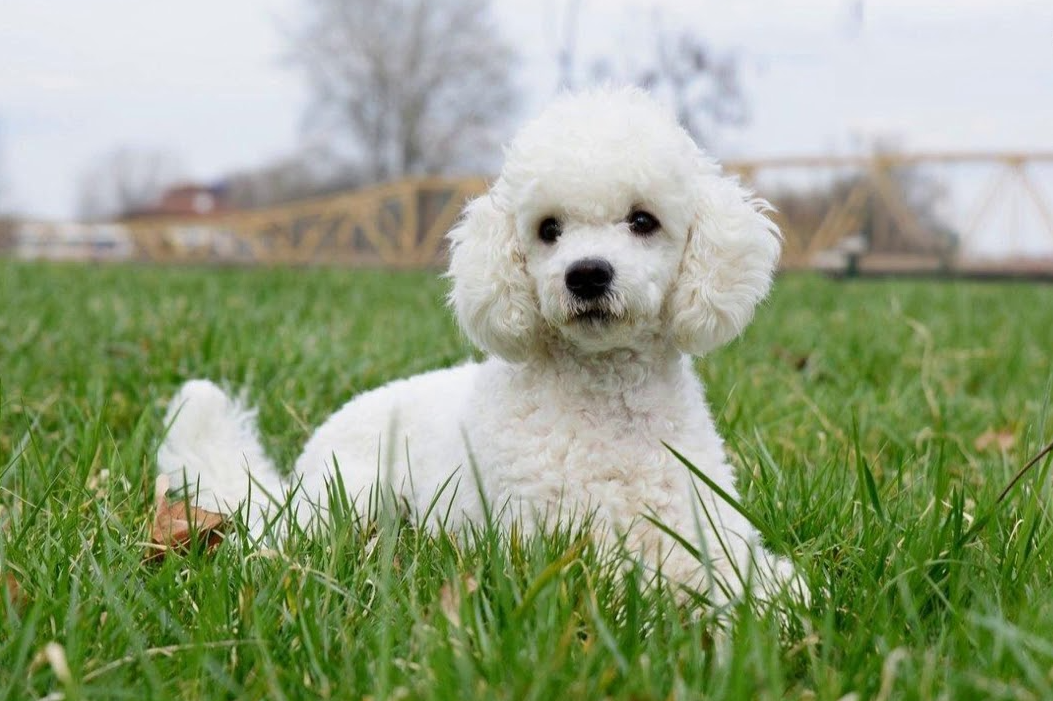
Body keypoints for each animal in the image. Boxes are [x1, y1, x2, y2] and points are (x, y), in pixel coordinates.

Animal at [155, 85, 796, 602]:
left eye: (643, 220)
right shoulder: (558, 539)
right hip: (348, 497)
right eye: (548, 229)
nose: (586, 275)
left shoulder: (706, 519)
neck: (607, 402)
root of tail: (298, 470)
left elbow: (763, 582)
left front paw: (769, 603)